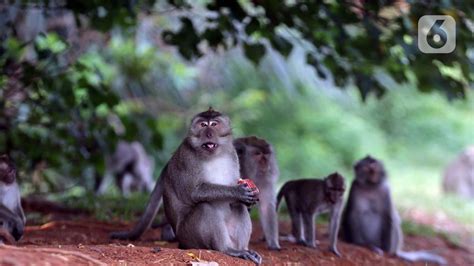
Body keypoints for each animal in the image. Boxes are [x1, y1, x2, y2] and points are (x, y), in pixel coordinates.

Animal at [110, 108, 262, 264]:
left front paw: (249, 197)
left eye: (214, 124)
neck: (213, 155)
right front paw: (238, 191)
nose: (208, 133)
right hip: (189, 236)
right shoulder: (187, 158)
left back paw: (243, 249)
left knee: (238, 206)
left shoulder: (232, 154)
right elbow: (194, 192)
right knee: (206, 207)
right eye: (203, 125)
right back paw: (227, 249)